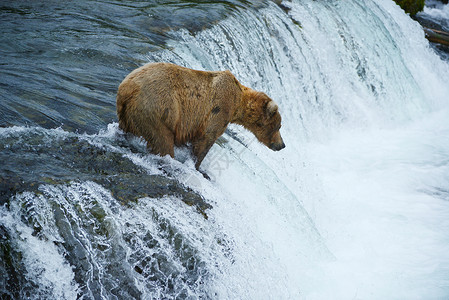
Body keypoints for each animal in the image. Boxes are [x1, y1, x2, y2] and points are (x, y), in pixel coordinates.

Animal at [116, 62, 284, 170]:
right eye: (278, 126)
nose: (282, 145)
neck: (238, 103)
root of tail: (128, 89)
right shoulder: (219, 109)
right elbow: (206, 140)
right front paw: (197, 166)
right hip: (158, 111)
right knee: (162, 140)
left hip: (128, 116)